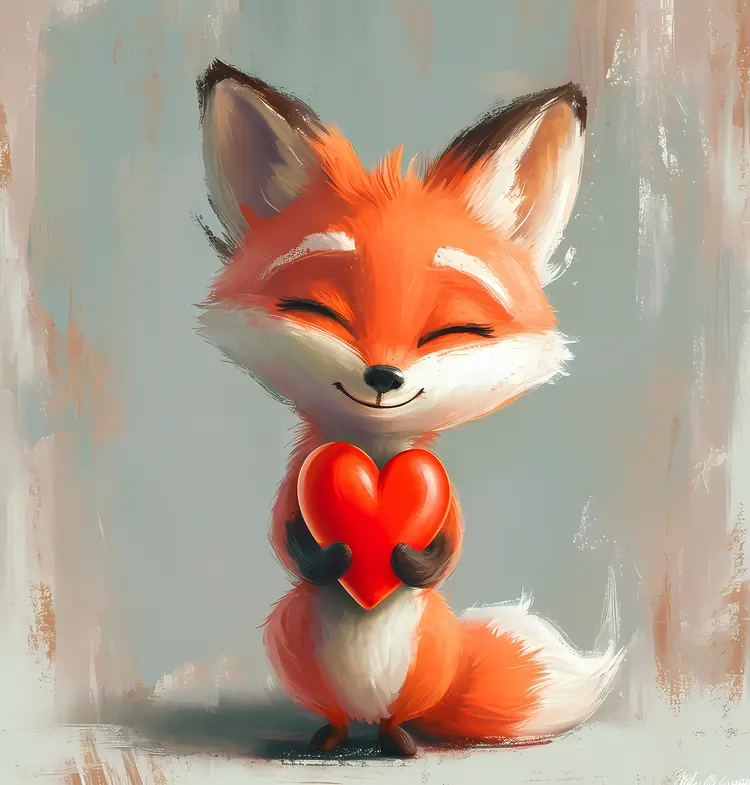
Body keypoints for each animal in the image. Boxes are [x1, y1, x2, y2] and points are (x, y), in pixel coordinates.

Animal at [195, 59, 625, 757]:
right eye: (318, 310)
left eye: (453, 330)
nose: (383, 376)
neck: (376, 459)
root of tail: (367, 708)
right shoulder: (297, 482)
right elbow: (287, 539)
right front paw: (334, 559)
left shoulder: (441, 493)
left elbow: (449, 543)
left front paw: (408, 562)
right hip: (287, 635)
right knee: (337, 715)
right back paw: (326, 739)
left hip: (430, 654)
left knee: (403, 715)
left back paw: (400, 741)